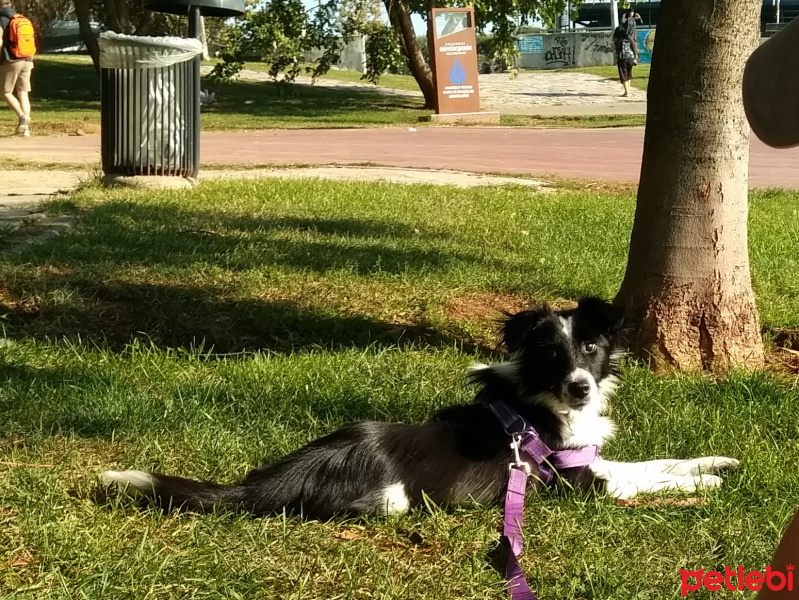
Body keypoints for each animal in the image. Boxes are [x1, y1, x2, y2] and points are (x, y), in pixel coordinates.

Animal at [103, 298, 740, 516]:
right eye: (552, 354)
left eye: (590, 348)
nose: (580, 387)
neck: (539, 403)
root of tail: (276, 476)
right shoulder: (580, 484)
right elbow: (643, 480)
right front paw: (704, 487)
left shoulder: (592, 461)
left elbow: (656, 463)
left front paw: (717, 463)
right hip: (393, 500)